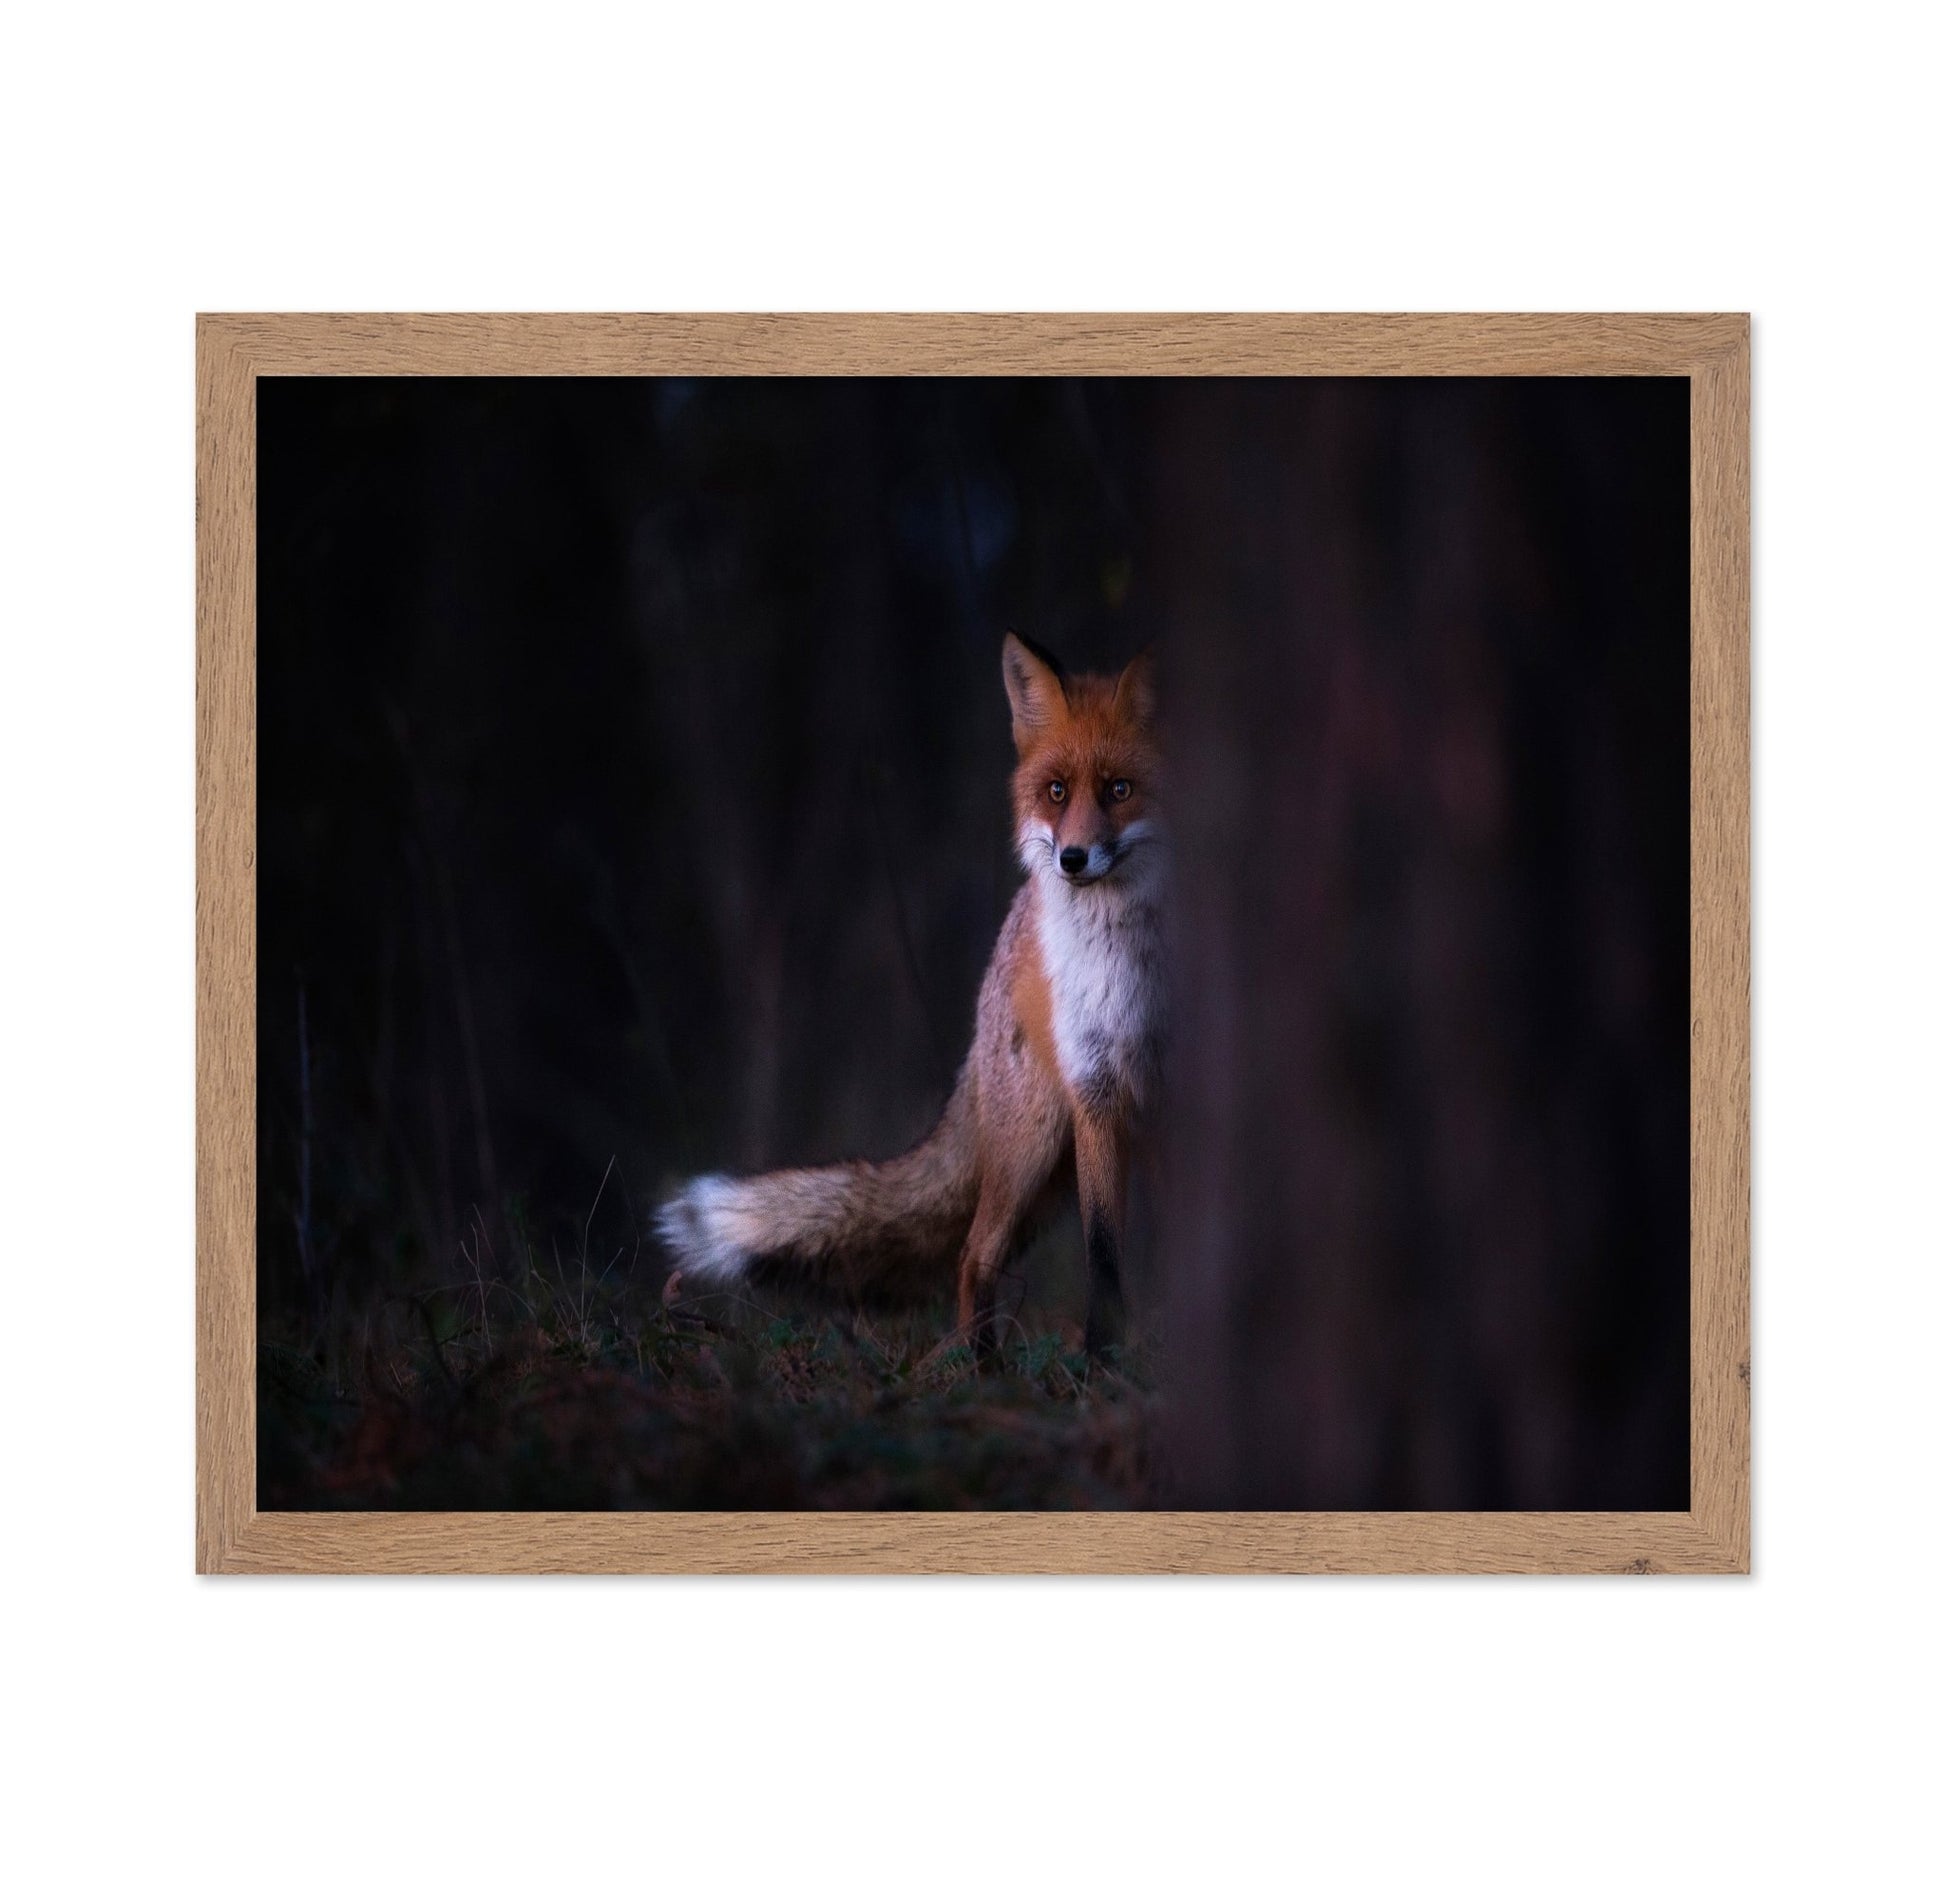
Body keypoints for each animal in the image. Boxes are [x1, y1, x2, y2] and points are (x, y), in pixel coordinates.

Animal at [656, 633, 1165, 1357]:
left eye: (1121, 790)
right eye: (1056, 791)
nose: (1073, 858)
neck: (1128, 967)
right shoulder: (1098, 1090)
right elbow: (1104, 1256)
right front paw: (1101, 1359)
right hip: (1033, 1144)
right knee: (973, 1256)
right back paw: (979, 1368)